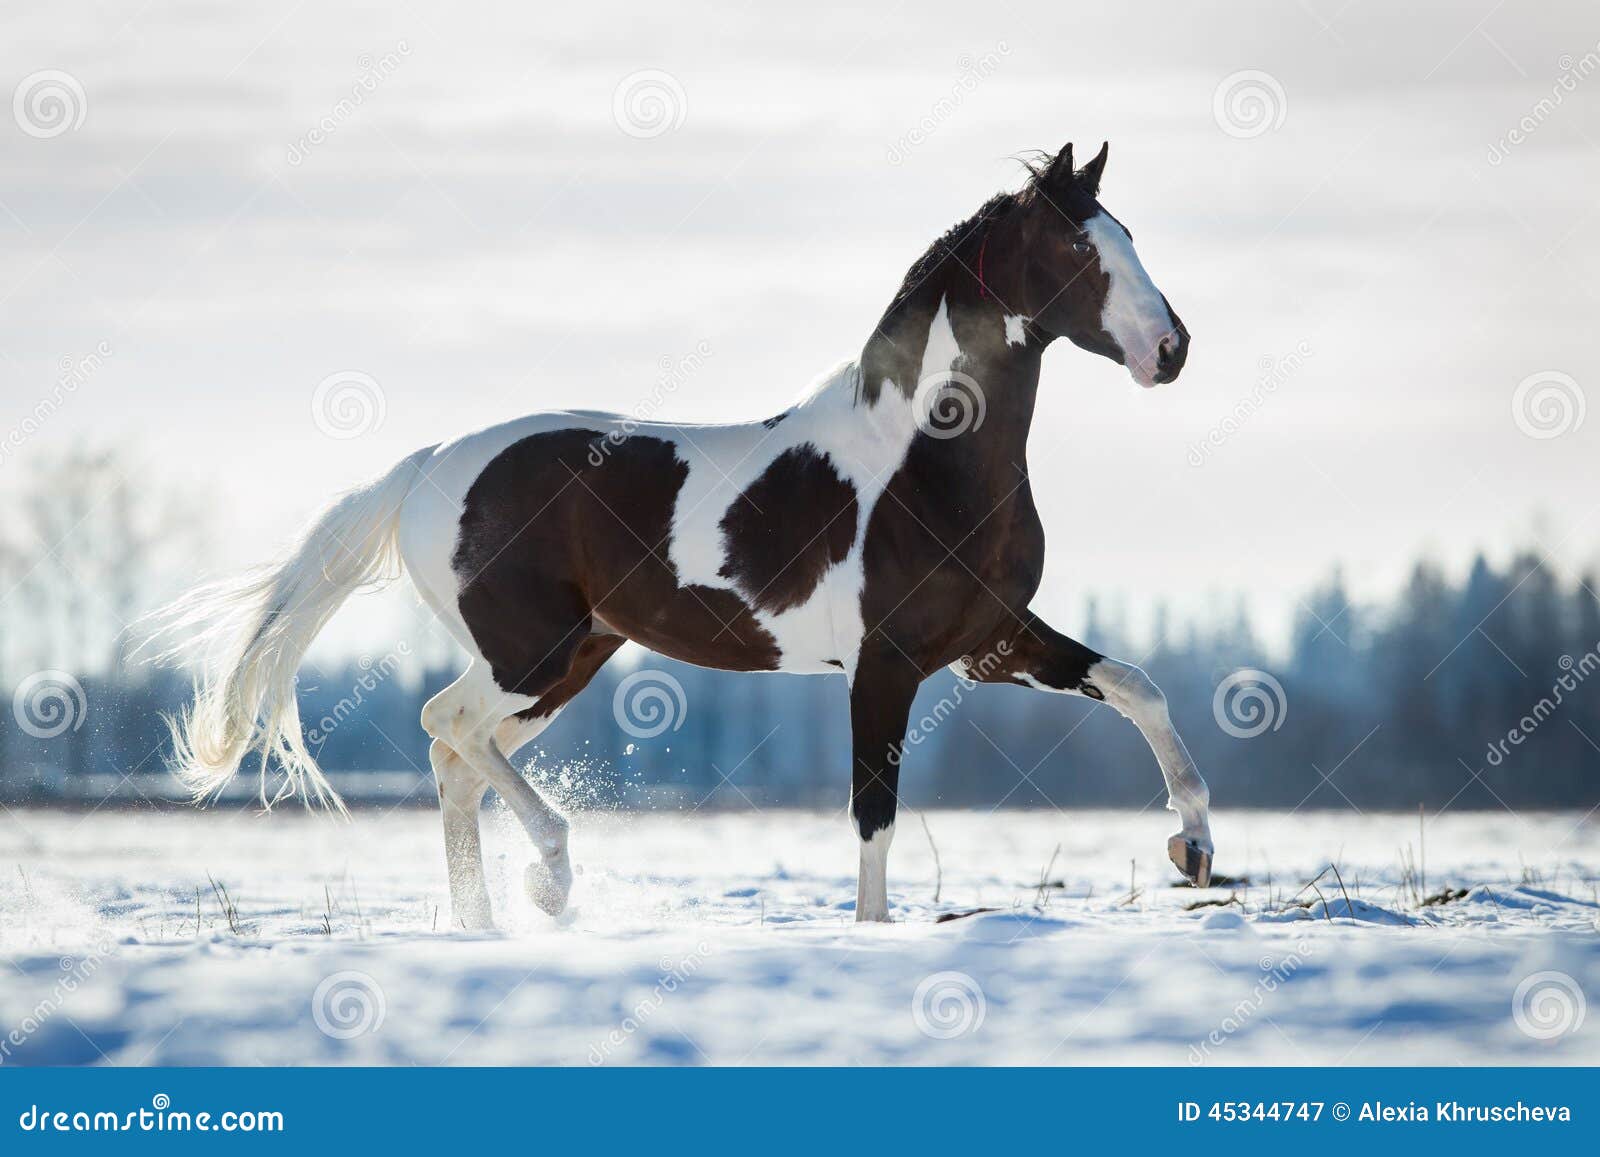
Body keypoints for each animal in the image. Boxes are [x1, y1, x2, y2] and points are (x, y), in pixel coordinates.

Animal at [150, 138, 1209, 934]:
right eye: (1079, 251)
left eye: (1128, 236)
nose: (1172, 349)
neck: (920, 463)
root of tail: (425, 465)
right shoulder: (886, 664)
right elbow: (873, 815)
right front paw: (872, 938)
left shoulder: (985, 641)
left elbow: (1138, 687)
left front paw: (1193, 846)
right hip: (530, 655)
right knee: (445, 724)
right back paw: (549, 880)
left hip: (568, 660)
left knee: (457, 754)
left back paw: (488, 924)